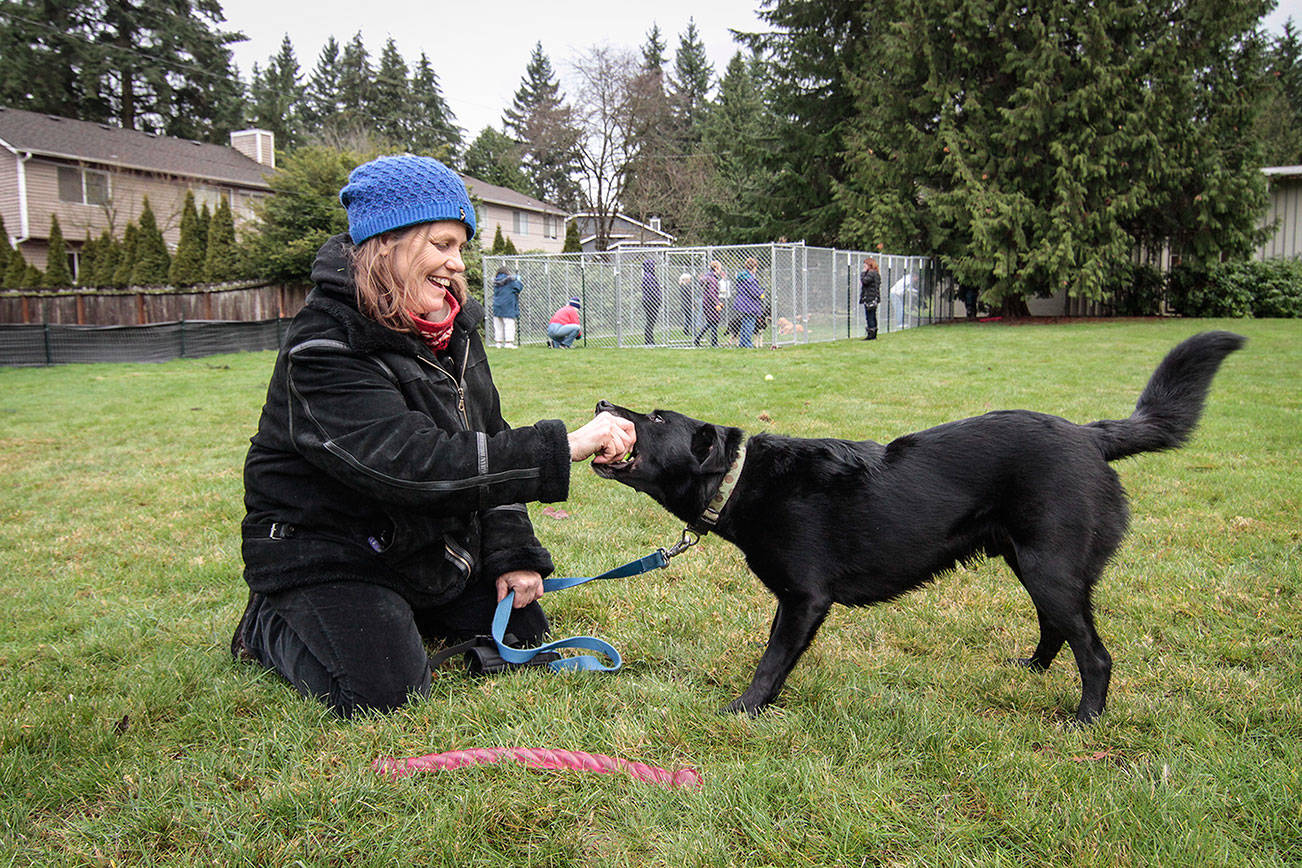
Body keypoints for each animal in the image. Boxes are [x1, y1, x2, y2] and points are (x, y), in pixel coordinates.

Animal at [596, 329, 1244, 723]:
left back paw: (1082, 720)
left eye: (657, 417)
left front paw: (746, 709)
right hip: (1032, 564)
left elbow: (771, 661)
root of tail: (1090, 436)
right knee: (1058, 629)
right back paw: (1030, 672)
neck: (740, 481)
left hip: (1050, 567)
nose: (601, 403)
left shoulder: (804, 599)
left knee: (1096, 655)